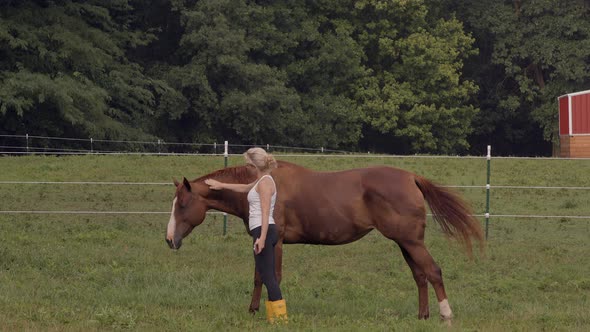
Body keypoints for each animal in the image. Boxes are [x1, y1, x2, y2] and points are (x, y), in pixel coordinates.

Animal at [165, 161, 486, 322]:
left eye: (183, 204)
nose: (169, 239)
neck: (262, 184)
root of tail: (411, 177)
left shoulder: (275, 242)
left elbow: (272, 276)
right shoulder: (261, 242)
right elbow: (259, 276)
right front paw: (253, 310)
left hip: (412, 242)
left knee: (433, 272)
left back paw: (445, 314)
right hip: (405, 243)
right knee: (420, 276)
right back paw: (422, 316)